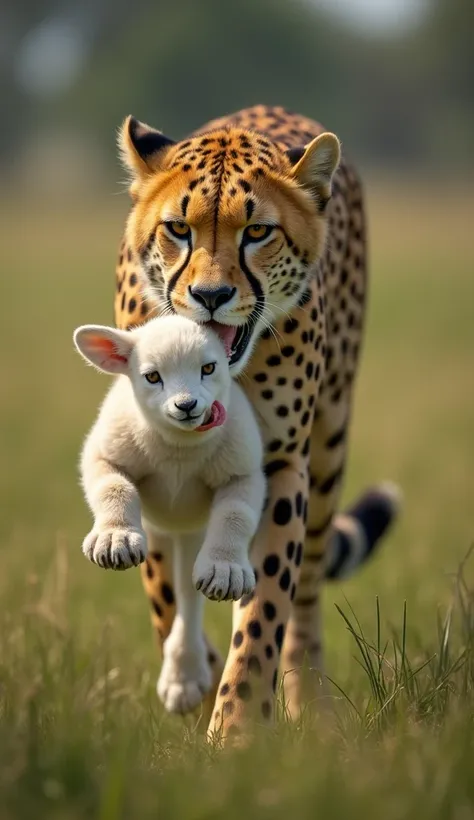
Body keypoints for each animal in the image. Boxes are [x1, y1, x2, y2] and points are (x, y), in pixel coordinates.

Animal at [75, 314, 264, 712]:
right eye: (152, 376)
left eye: (209, 368)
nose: (186, 404)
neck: (179, 449)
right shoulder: (103, 453)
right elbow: (114, 487)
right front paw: (115, 538)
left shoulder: (243, 472)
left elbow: (235, 515)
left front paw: (225, 569)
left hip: (192, 532)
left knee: (189, 598)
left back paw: (184, 674)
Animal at [112, 105, 400, 740]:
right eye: (179, 228)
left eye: (258, 232)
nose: (211, 294)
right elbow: (164, 589)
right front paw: (192, 683)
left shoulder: (281, 464)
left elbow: (267, 604)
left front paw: (239, 728)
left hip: (329, 444)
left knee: (308, 589)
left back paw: (309, 708)